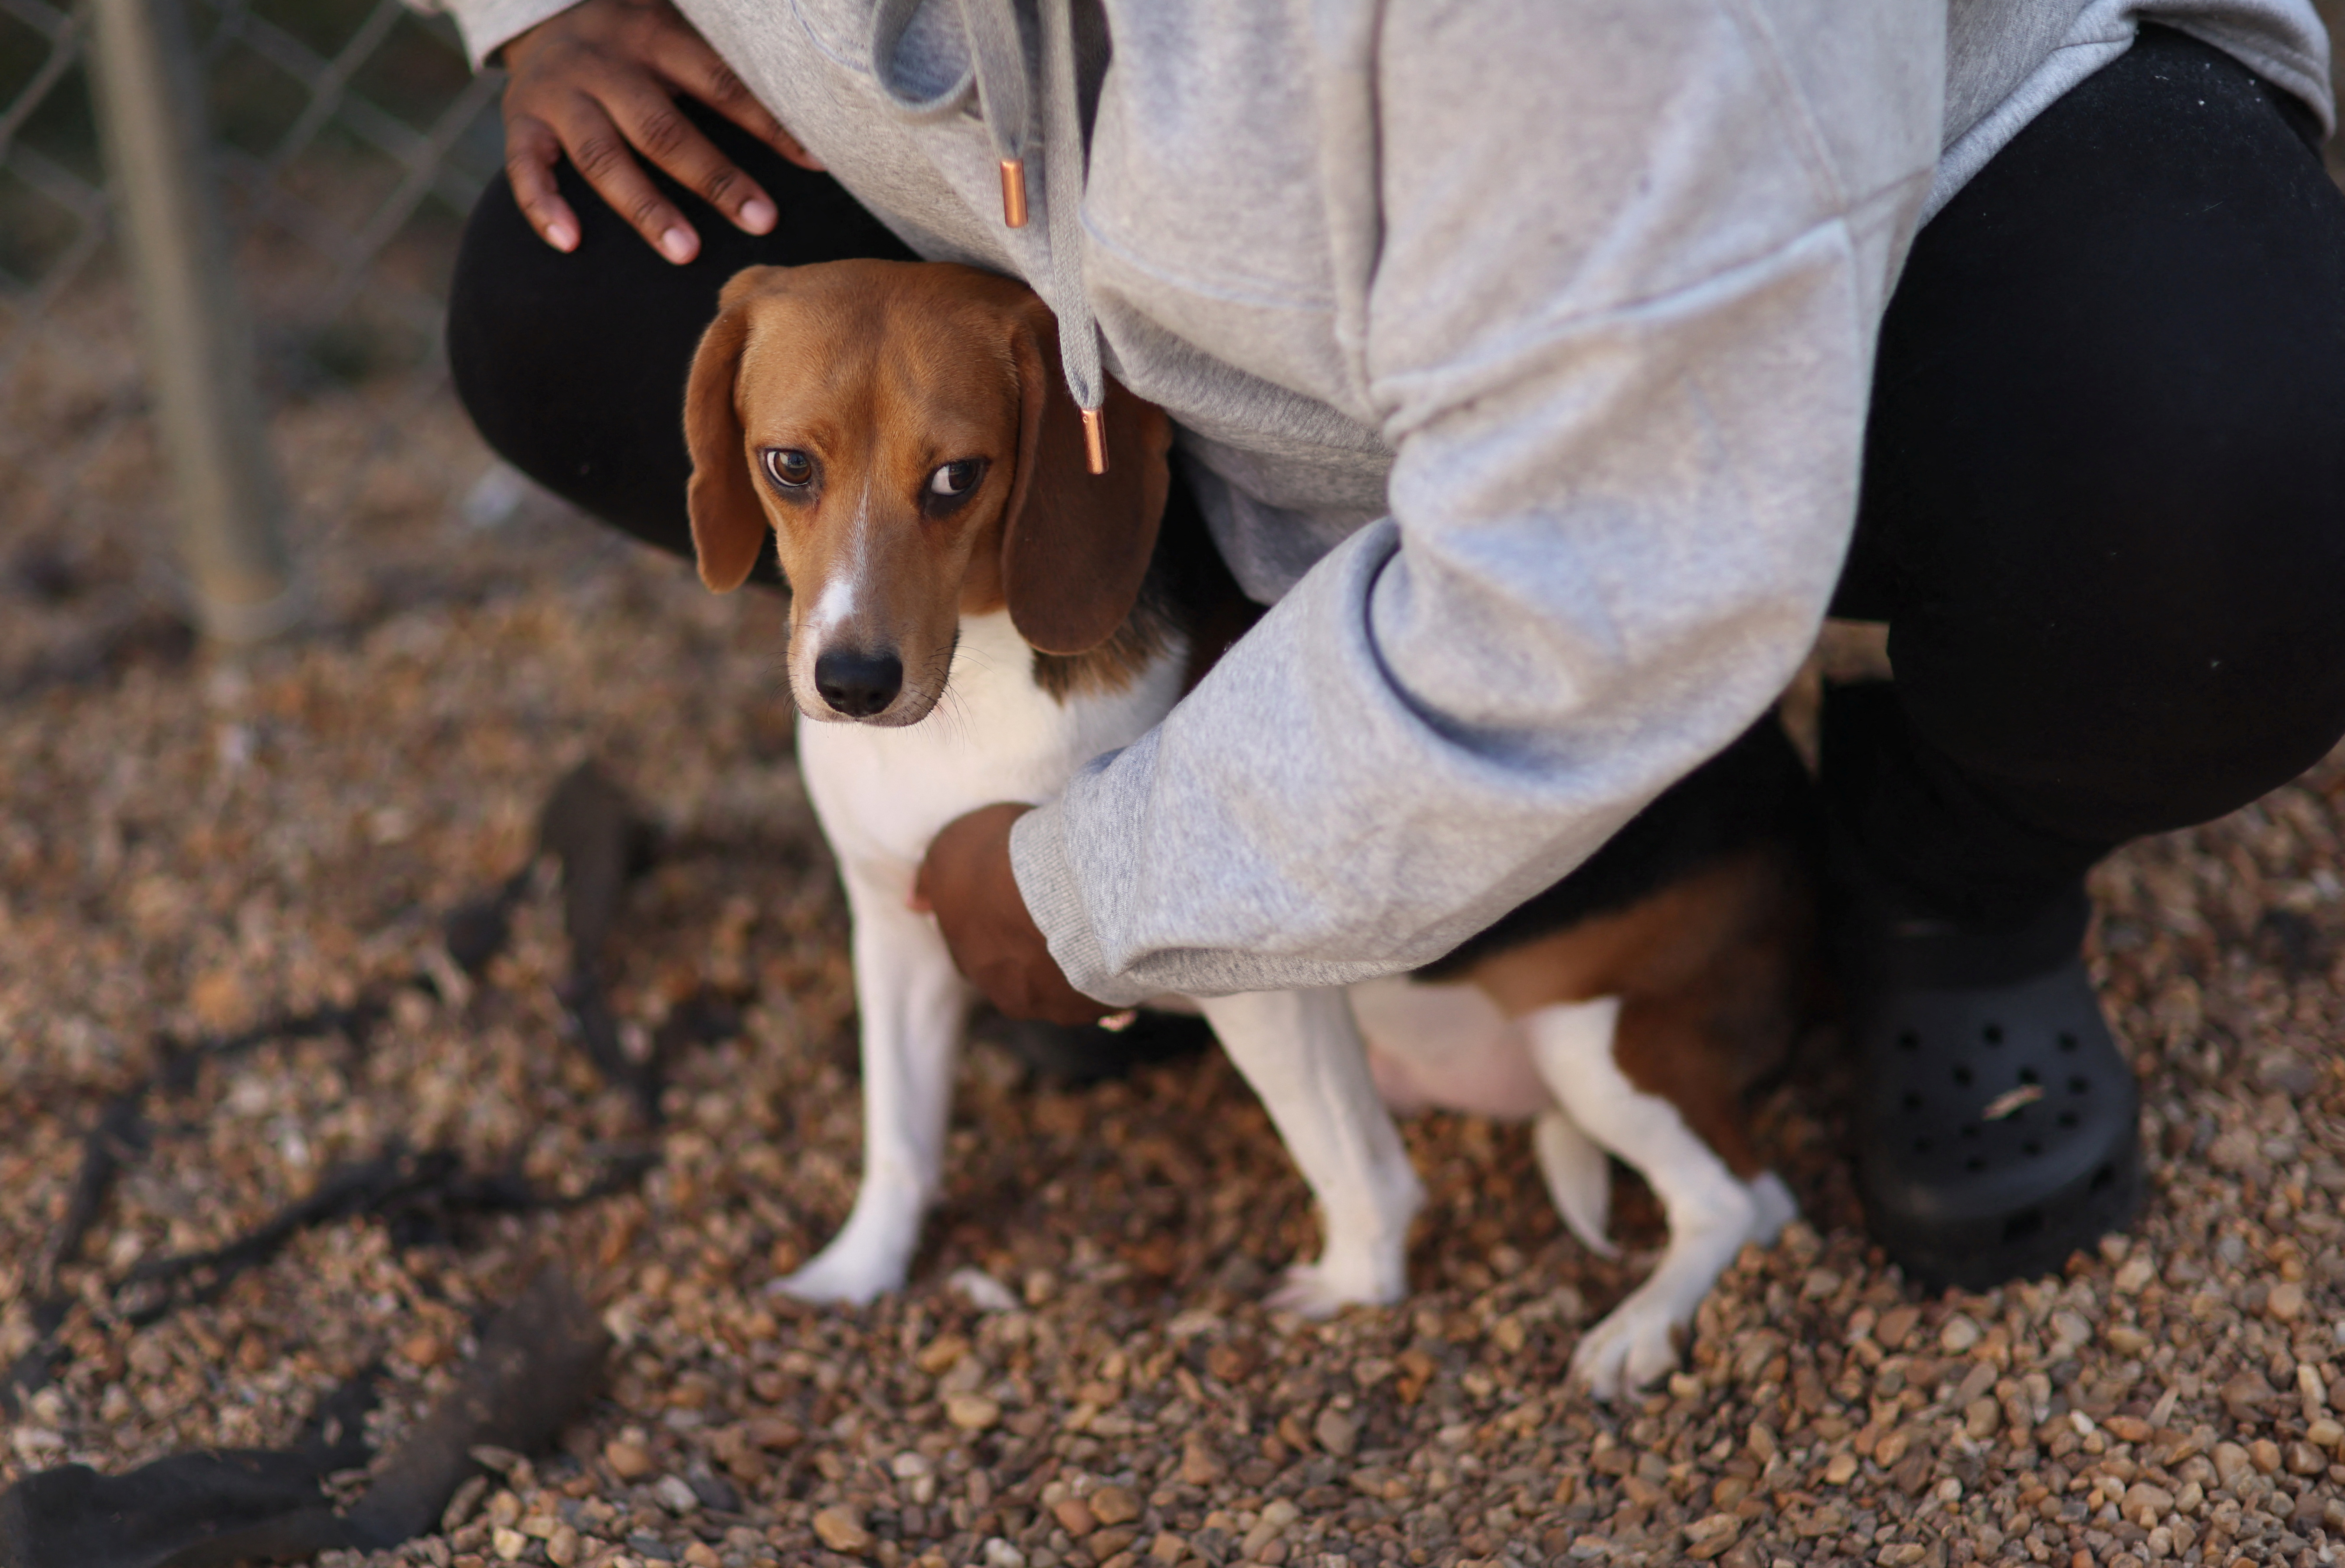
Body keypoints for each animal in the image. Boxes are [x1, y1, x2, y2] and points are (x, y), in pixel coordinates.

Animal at [680, 256, 1810, 1397]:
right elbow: (899, 1137)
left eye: (958, 477)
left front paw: (1353, 1287)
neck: (969, 698)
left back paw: (1640, 1327)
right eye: (788, 465)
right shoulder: (895, 928)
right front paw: (858, 1270)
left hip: (1593, 1040)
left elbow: (1349, 1159)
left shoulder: (1246, 971)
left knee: (1744, 1201)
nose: (855, 682)